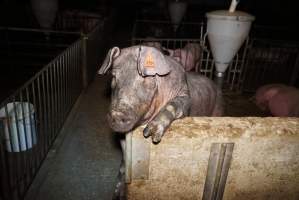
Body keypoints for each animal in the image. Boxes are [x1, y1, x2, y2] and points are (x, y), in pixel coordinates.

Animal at [98, 45, 223, 200]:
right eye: (114, 77)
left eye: (145, 78)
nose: (117, 114)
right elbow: (124, 159)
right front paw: (117, 194)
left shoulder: (184, 95)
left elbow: (175, 105)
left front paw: (150, 134)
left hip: (219, 107)